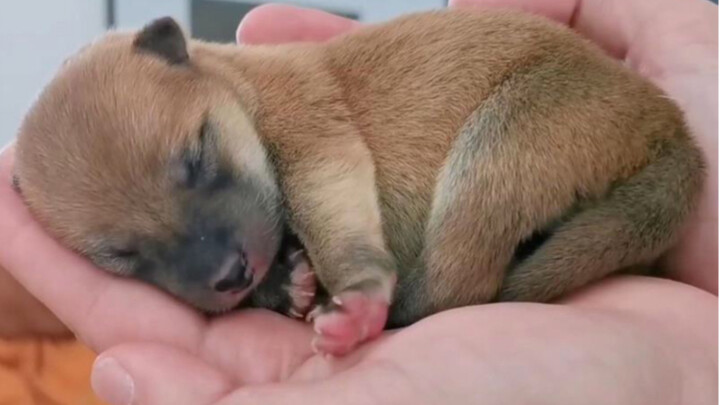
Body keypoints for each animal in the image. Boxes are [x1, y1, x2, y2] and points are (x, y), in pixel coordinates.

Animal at [12, 9, 704, 356]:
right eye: (122, 256)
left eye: (198, 156)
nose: (231, 276)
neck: (245, 86)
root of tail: (670, 128)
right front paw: (285, 285)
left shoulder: (314, 133)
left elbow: (333, 215)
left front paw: (354, 294)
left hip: (504, 138)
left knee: (461, 282)